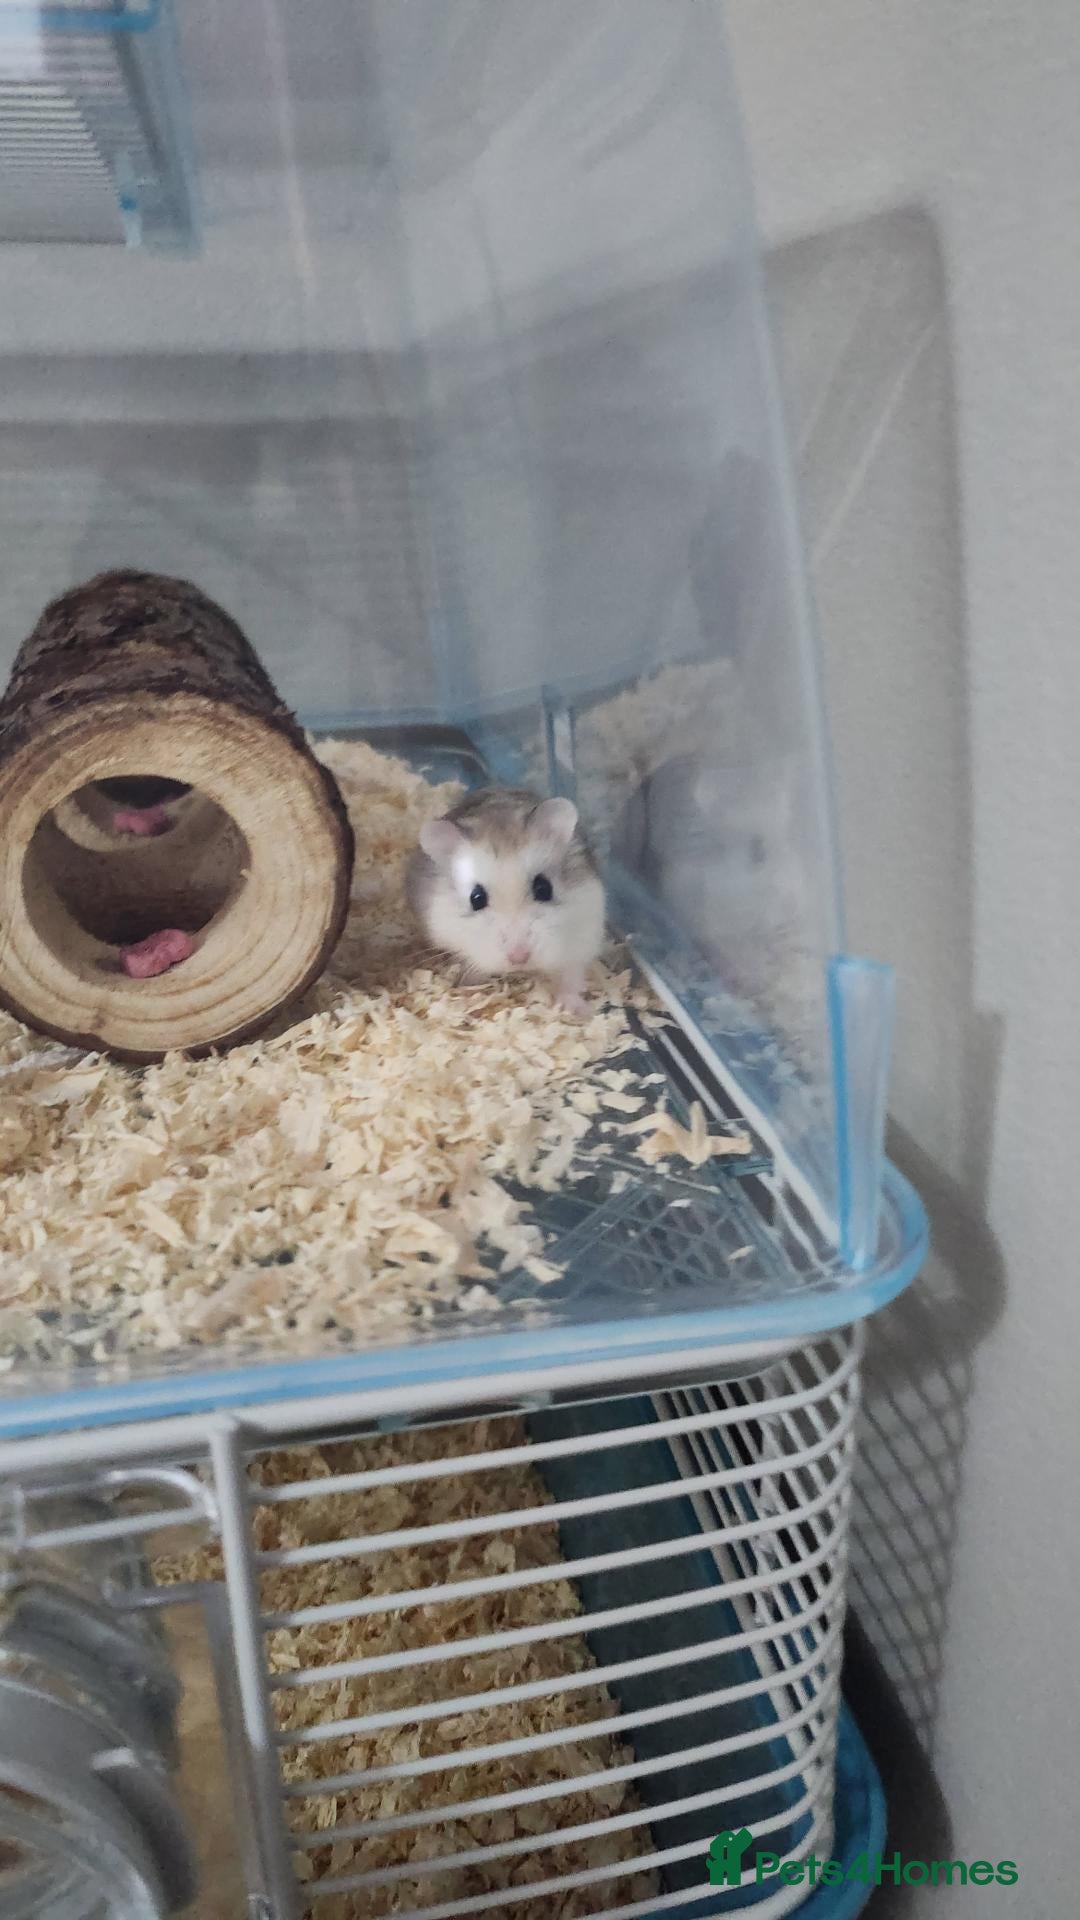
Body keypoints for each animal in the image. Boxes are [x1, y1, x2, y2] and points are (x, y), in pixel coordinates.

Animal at [407, 787, 605, 1013]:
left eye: (544, 888)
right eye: (476, 898)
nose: (519, 958)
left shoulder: (583, 935)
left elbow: (570, 976)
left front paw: (579, 1012)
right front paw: (471, 987)